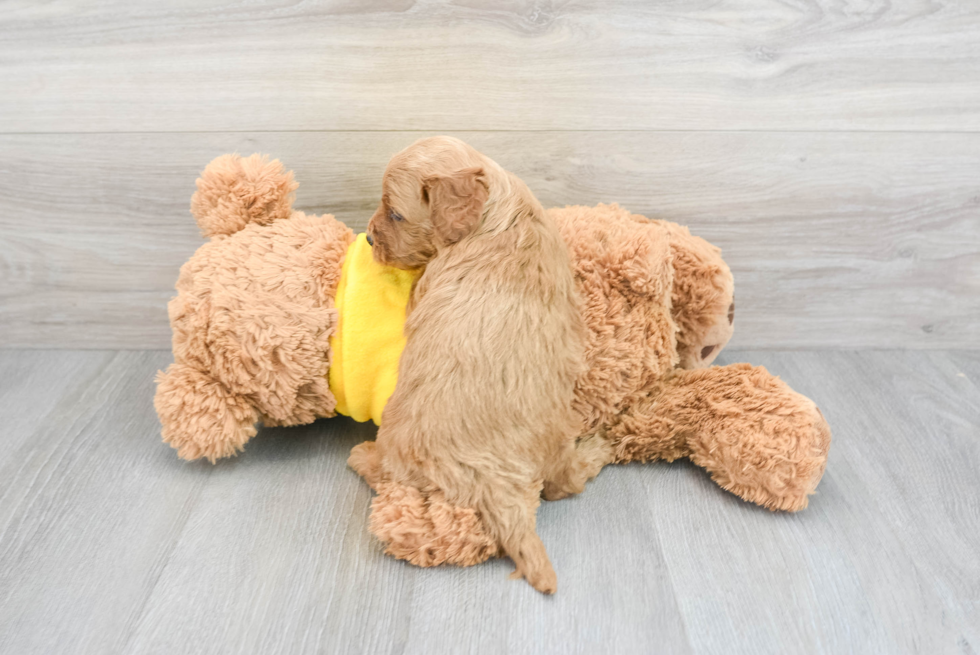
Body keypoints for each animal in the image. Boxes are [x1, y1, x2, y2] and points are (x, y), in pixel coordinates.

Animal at [350, 136, 584, 592]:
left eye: (395, 213)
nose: (368, 239)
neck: (499, 215)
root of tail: (499, 491)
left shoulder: (426, 285)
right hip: (558, 439)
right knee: (562, 486)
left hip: (398, 440)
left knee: (385, 474)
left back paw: (361, 455)